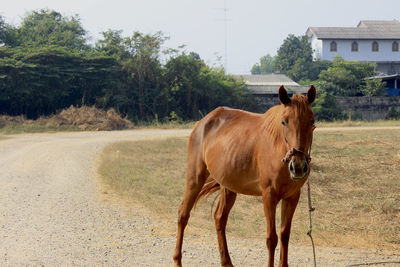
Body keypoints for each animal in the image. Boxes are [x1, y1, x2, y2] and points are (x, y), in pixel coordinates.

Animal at [173, 86, 318, 267]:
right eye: (284, 122)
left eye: (311, 121)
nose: (297, 167)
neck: (277, 147)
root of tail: (202, 123)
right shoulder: (269, 196)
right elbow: (272, 239)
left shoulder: (292, 197)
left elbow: (285, 235)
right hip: (195, 178)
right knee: (183, 215)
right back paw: (177, 260)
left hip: (228, 187)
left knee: (219, 219)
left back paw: (226, 262)